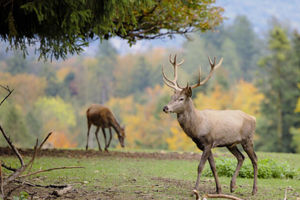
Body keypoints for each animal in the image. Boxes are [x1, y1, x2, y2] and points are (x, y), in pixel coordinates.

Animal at [162, 54, 258, 195]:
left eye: (181, 99)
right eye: (171, 97)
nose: (165, 107)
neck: (197, 126)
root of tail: (253, 118)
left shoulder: (208, 142)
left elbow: (200, 167)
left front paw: (195, 190)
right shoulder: (203, 145)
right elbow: (213, 166)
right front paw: (218, 189)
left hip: (248, 139)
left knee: (254, 159)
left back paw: (254, 190)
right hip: (231, 143)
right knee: (241, 157)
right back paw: (232, 186)